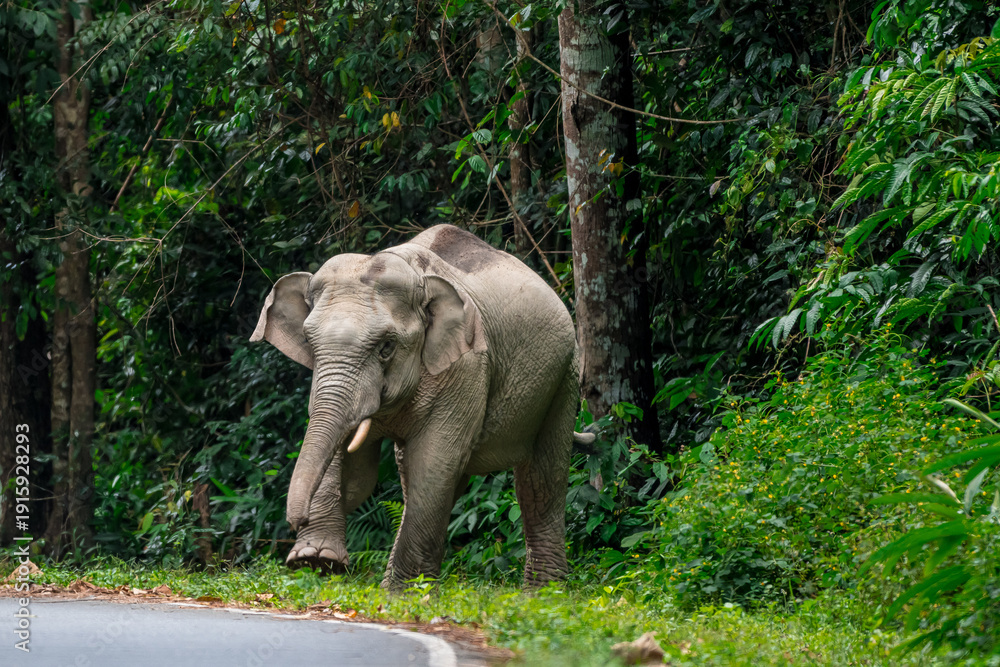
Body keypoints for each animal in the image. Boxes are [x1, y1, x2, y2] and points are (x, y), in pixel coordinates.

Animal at [250, 224, 593, 590]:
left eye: (386, 347)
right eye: (309, 342)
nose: (293, 522)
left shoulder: (467, 367)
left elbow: (433, 461)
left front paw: (402, 592)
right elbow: (358, 473)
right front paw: (316, 560)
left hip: (565, 375)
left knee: (540, 479)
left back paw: (542, 592)